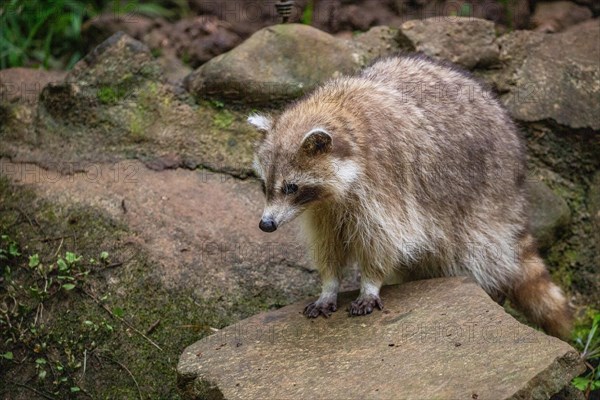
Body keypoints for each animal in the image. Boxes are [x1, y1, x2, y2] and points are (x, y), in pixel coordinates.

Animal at [247, 55, 572, 338]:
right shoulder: (323, 209)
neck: (335, 110)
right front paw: (329, 286)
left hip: (483, 197)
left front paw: (370, 283)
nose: (266, 225)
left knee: (474, 253)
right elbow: (328, 245)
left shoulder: (386, 181)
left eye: (291, 187)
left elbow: (384, 239)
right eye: (264, 185)